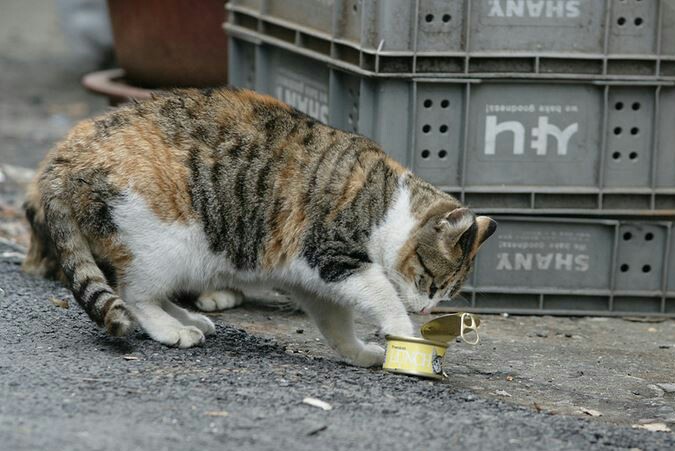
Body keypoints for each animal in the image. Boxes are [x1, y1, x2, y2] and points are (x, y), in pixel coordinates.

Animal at [22, 87, 496, 368]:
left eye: (445, 294)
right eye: (431, 283)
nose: (428, 310)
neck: (387, 206)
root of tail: (67, 152)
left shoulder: (314, 280)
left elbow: (336, 323)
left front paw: (357, 352)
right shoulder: (333, 256)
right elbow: (383, 294)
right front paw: (405, 332)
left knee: (148, 290)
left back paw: (188, 317)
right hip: (167, 240)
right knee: (134, 293)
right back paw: (172, 329)